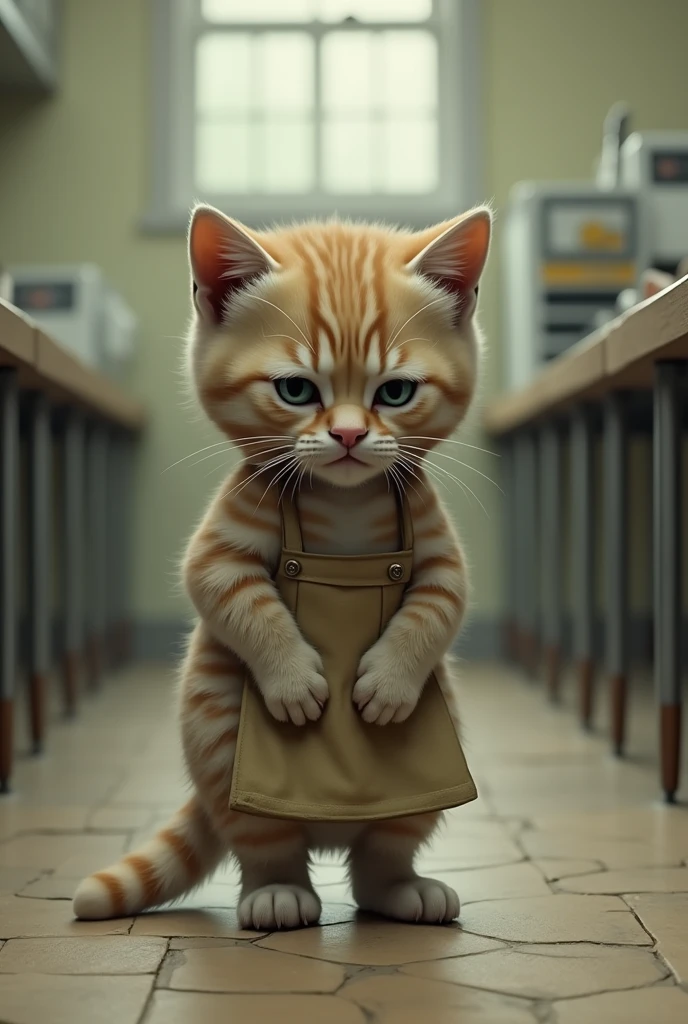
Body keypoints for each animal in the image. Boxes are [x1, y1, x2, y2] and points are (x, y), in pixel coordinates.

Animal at [75, 199, 491, 929]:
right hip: (219, 739)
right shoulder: (222, 547)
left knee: (379, 857)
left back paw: (402, 888)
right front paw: (295, 679)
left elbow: (437, 607)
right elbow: (238, 598)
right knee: (264, 841)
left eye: (395, 392)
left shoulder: (438, 550)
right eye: (297, 390)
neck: (345, 504)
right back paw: (277, 893)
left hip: (429, 761)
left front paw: (388, 682)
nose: (349, 434)